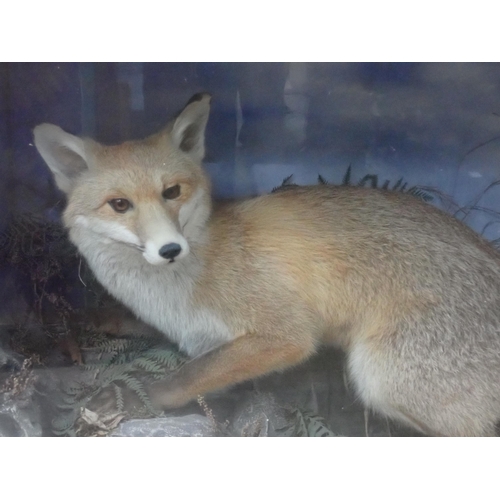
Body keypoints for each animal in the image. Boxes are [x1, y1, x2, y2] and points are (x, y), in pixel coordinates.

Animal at [33, 93, 500, 434]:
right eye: (119, 204)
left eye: (172, 192)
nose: (170, 250)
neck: (174, 293)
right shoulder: (186, 328)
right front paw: (91, 321)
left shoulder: (282, 334)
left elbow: (189, 375)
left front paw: (131, 398)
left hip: (380, 377)